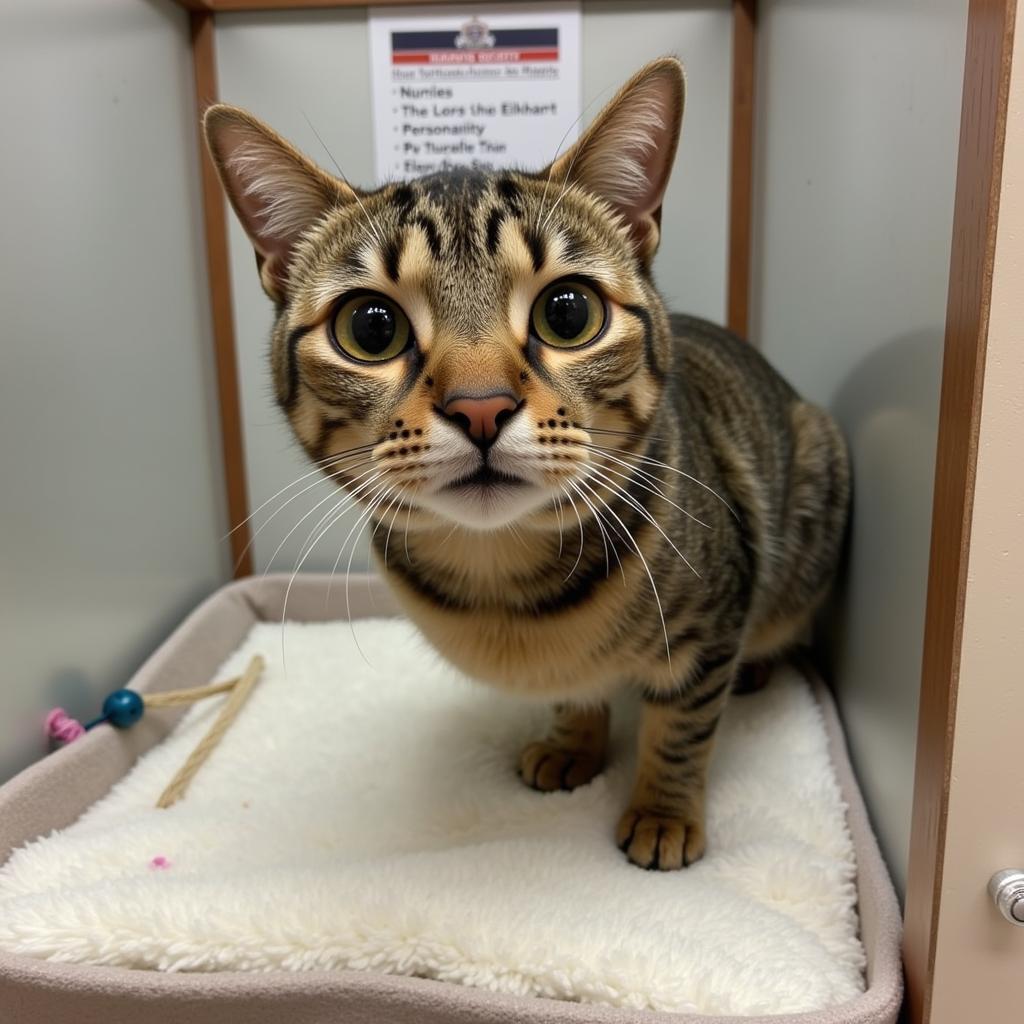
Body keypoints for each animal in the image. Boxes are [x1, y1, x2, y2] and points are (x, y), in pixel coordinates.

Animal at [205, 58, 847, 872]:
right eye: (371, 328)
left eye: (568, 312)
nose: (481, 407)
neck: (501, 580)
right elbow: (578, 692)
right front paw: (574, 743)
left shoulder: (712, 629)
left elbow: (682, 727)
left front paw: (663, 813)